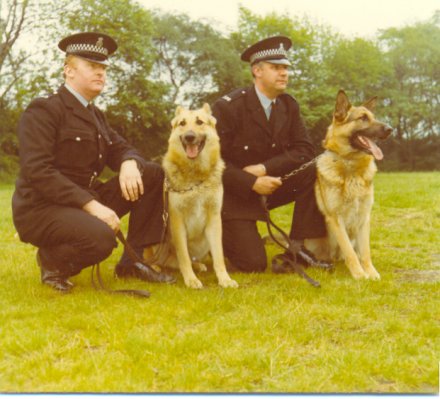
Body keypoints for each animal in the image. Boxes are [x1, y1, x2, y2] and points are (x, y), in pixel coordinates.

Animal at [153, 104, 239, 290]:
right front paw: (191, 280)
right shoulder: (177, 221)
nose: (189, 137)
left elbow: (219, 256)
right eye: (182, 123)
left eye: (199, 122)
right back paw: (154, 266)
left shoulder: (214, 220)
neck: (196, 178)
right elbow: (184, 256)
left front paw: (224, 279)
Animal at [306, 90, 392, 280]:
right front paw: (359, 275)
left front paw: (371, 273)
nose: (391, 129)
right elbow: (350, 252)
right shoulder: (336, 219)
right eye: (363, 118)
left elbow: (365, 252)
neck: (351, 166)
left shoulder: (364, 217)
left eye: (373, 117)